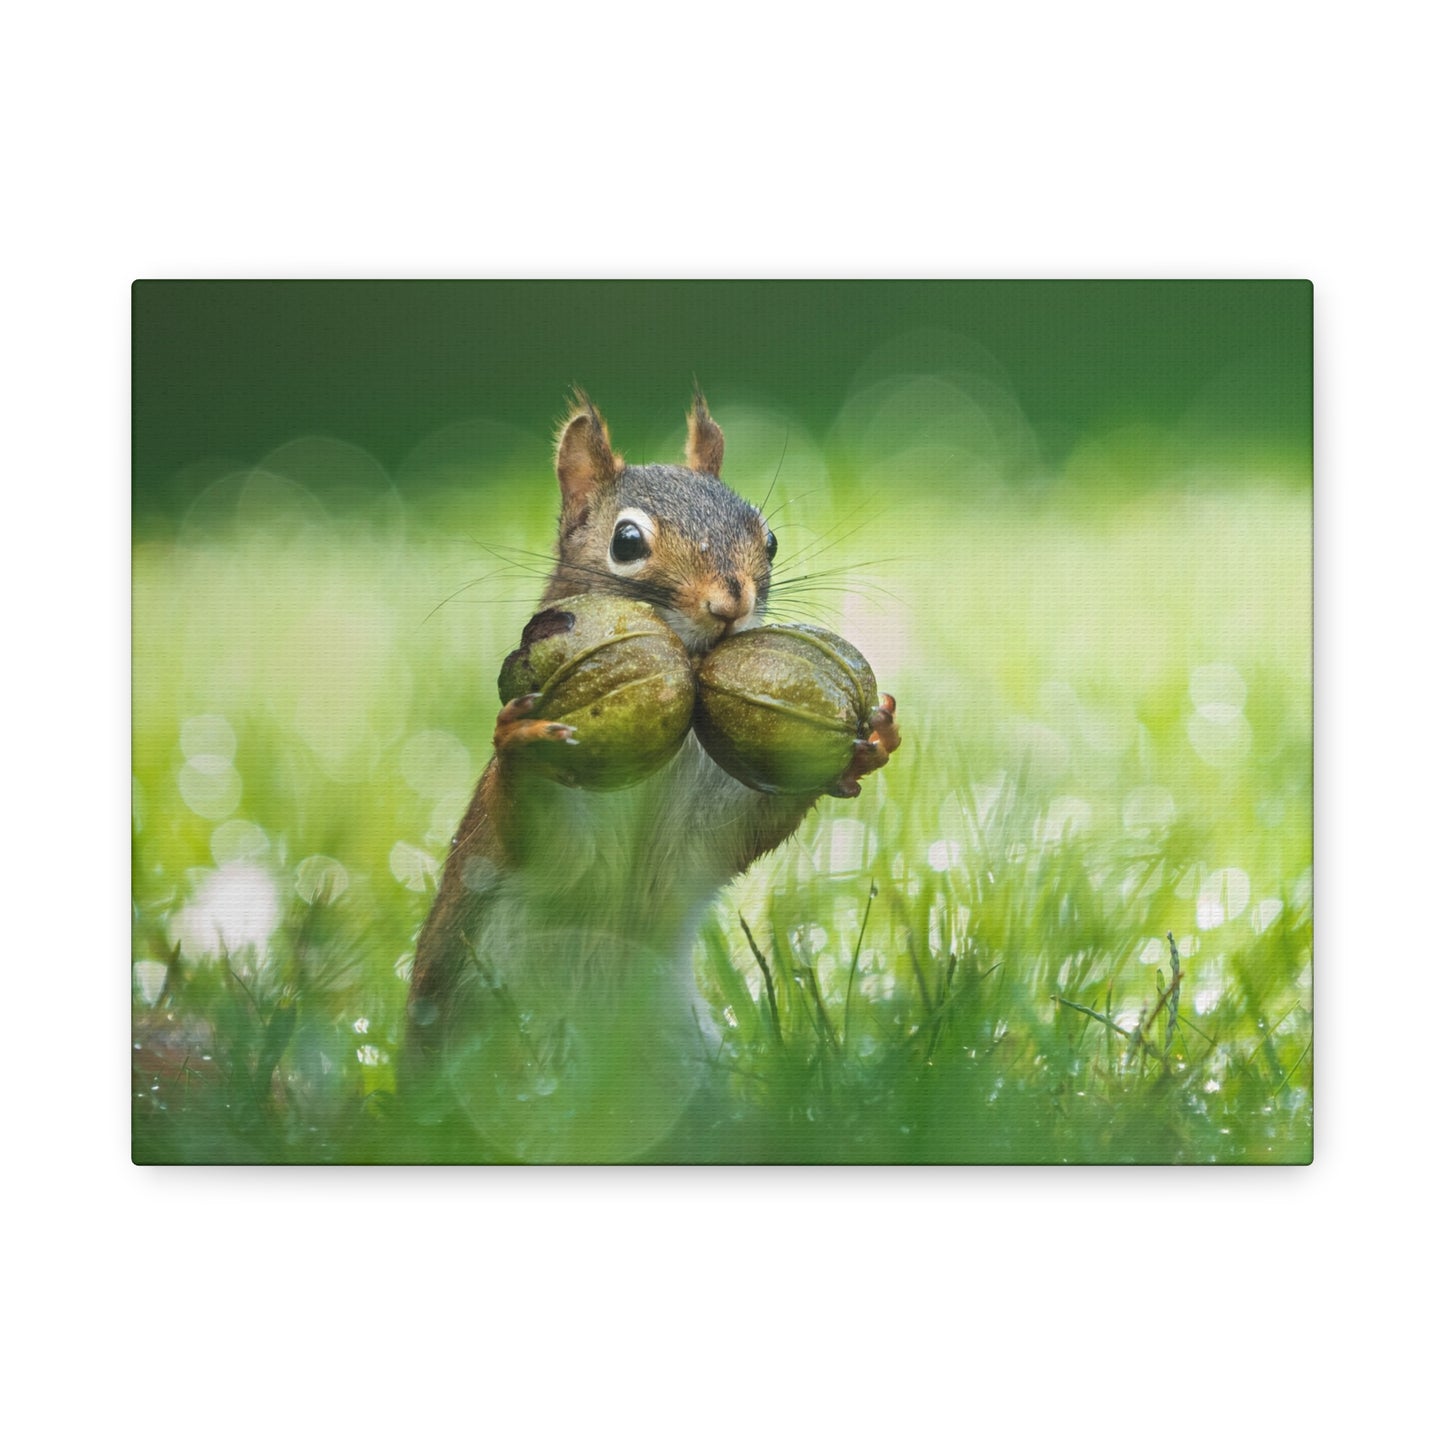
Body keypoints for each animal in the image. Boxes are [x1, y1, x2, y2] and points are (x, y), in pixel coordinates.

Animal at [402, 390, 900, 1157]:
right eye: (627, 542)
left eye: (769, 539)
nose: (729, 604)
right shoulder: (539, 851)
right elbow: (538, 829)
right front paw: (520, 739)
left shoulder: (694, 842)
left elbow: (742, 829)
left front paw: (866, 743)